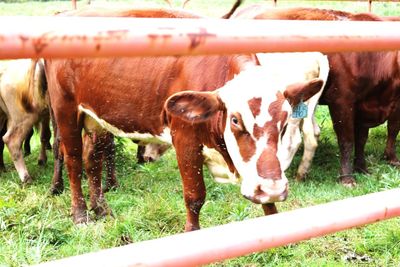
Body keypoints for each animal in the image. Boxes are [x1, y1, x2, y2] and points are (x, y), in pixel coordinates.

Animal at [45, 8, 324, 230]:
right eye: (235, 120)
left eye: (285, 122)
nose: (273, 188)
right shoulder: (186, 141)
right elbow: (194, 196)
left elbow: (268, 206)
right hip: (65, 110)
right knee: (73, 160)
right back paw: (81, 215)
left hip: (96, 117)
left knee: (92, 158)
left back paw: (100, 208)